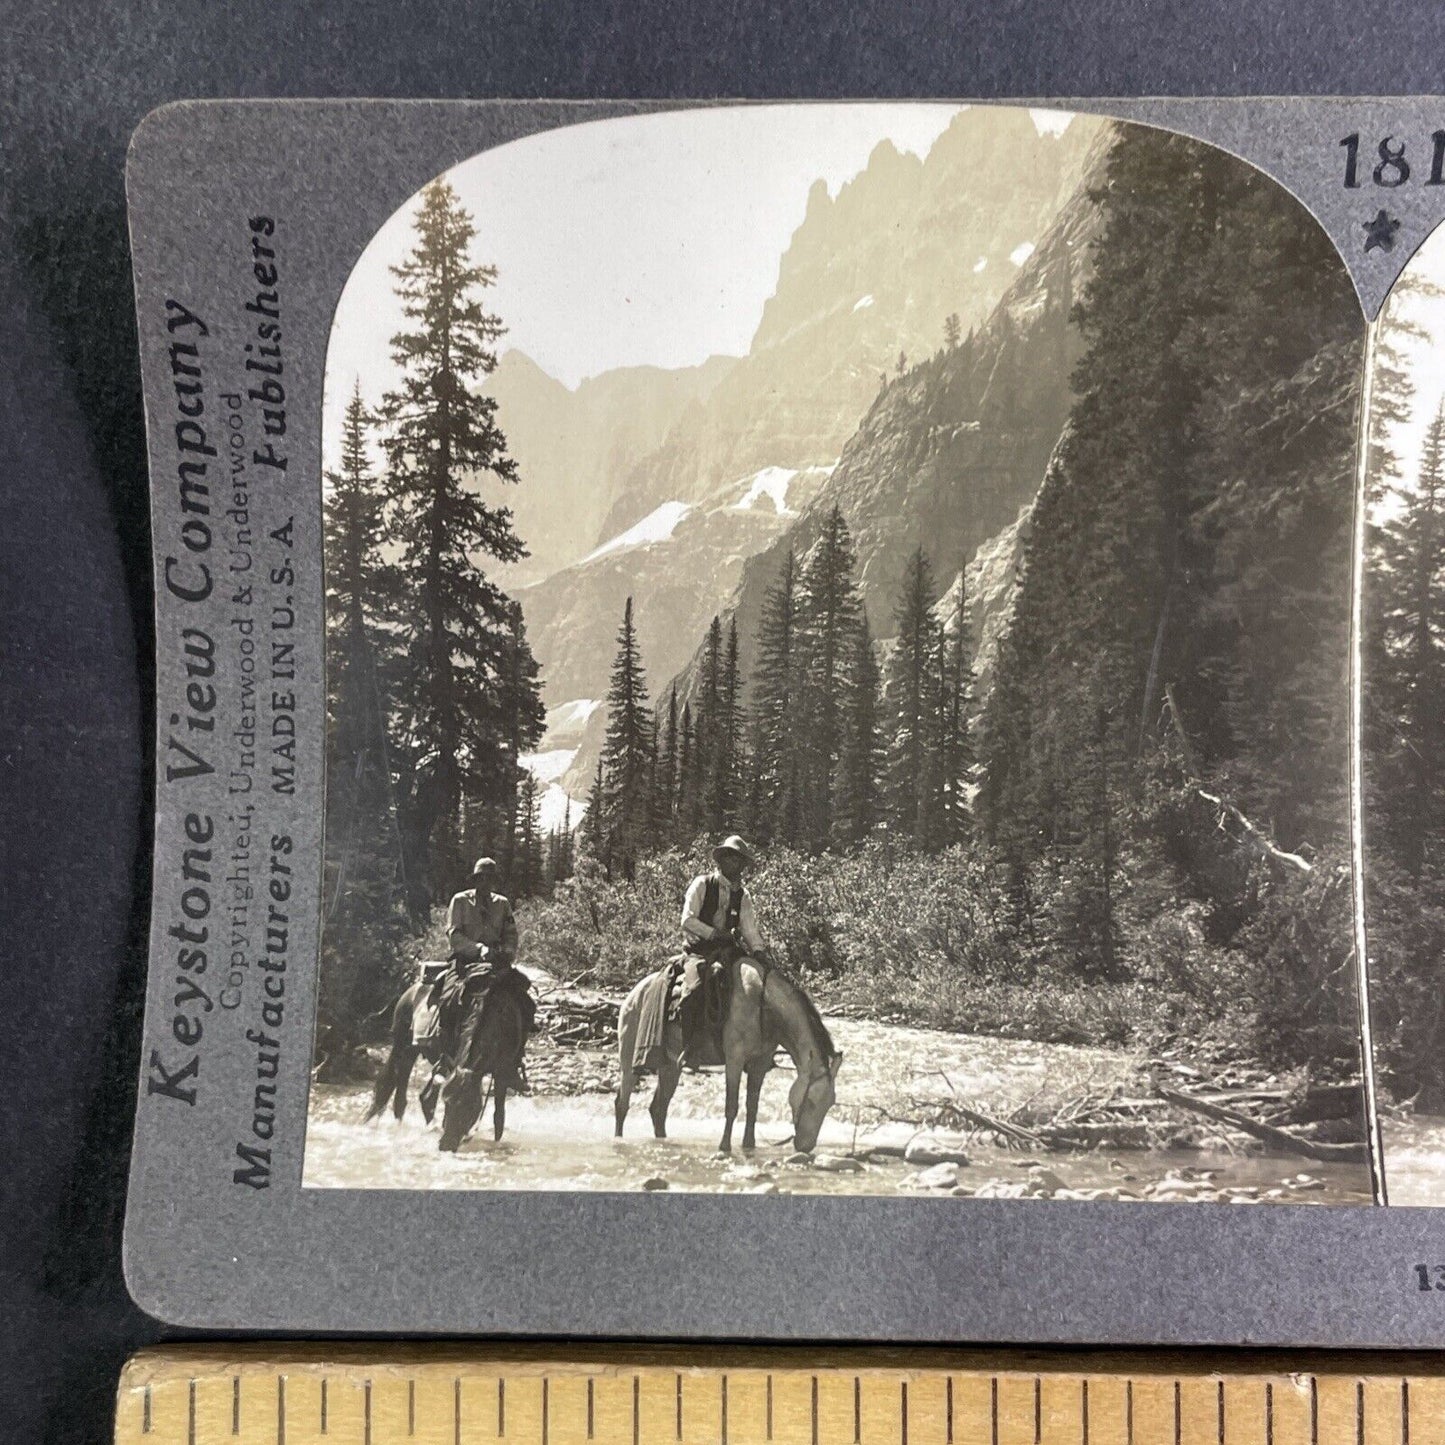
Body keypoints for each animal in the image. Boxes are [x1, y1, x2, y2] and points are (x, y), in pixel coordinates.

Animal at [367, 971, 531, 1150]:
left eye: (472, 1107)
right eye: (446, 1102)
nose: (446, 1145)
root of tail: (410, 990)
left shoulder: (502, 1075)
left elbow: (498, 1119)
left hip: (412, 1052)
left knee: (418, 1096)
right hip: (402, 1044)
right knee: (388, 1085)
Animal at [612, 959, 843, 1150]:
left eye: (829, 1104)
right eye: (811, 1102)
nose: (806, 1146)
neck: (764, 1009)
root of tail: (632, 995)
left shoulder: (760, 1064)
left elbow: (752, 1106)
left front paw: (749, 1145)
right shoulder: (734, 1060)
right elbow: (732, 1106)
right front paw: (725, 1147)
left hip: (669, 1066)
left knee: (658, 1108)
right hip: (629, 1059)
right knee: (622, 1103)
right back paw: (619, 1141)